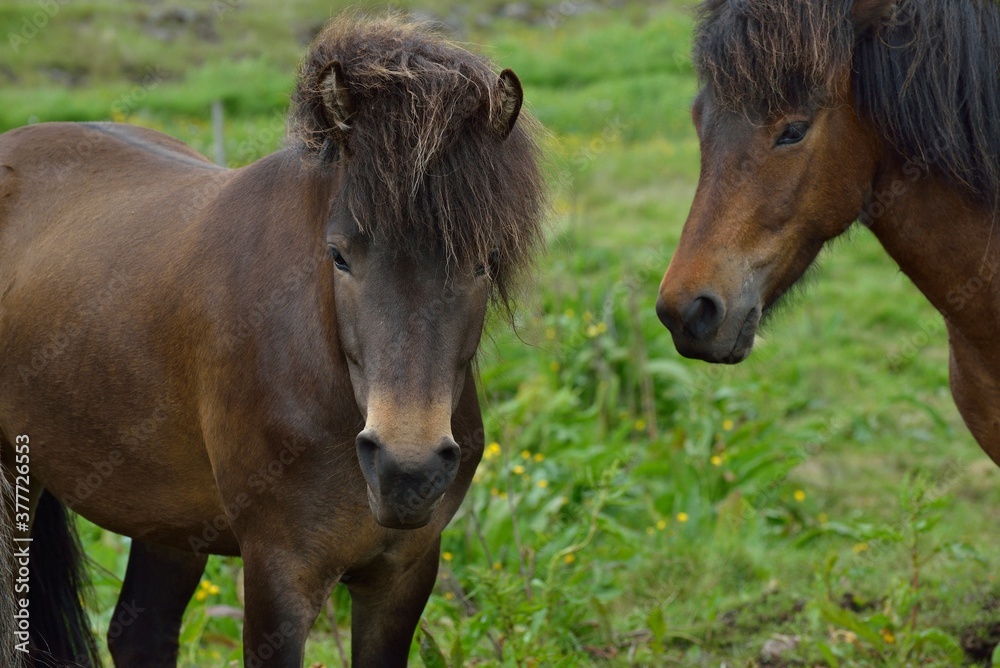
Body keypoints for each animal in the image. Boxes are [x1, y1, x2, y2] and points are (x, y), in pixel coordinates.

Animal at [0, 15, 544, 667]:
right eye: (339, 255)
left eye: (484, 262)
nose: (405, 471)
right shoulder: (279, 574)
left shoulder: (402, 576)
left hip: (168, 521)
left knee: (141, 632)